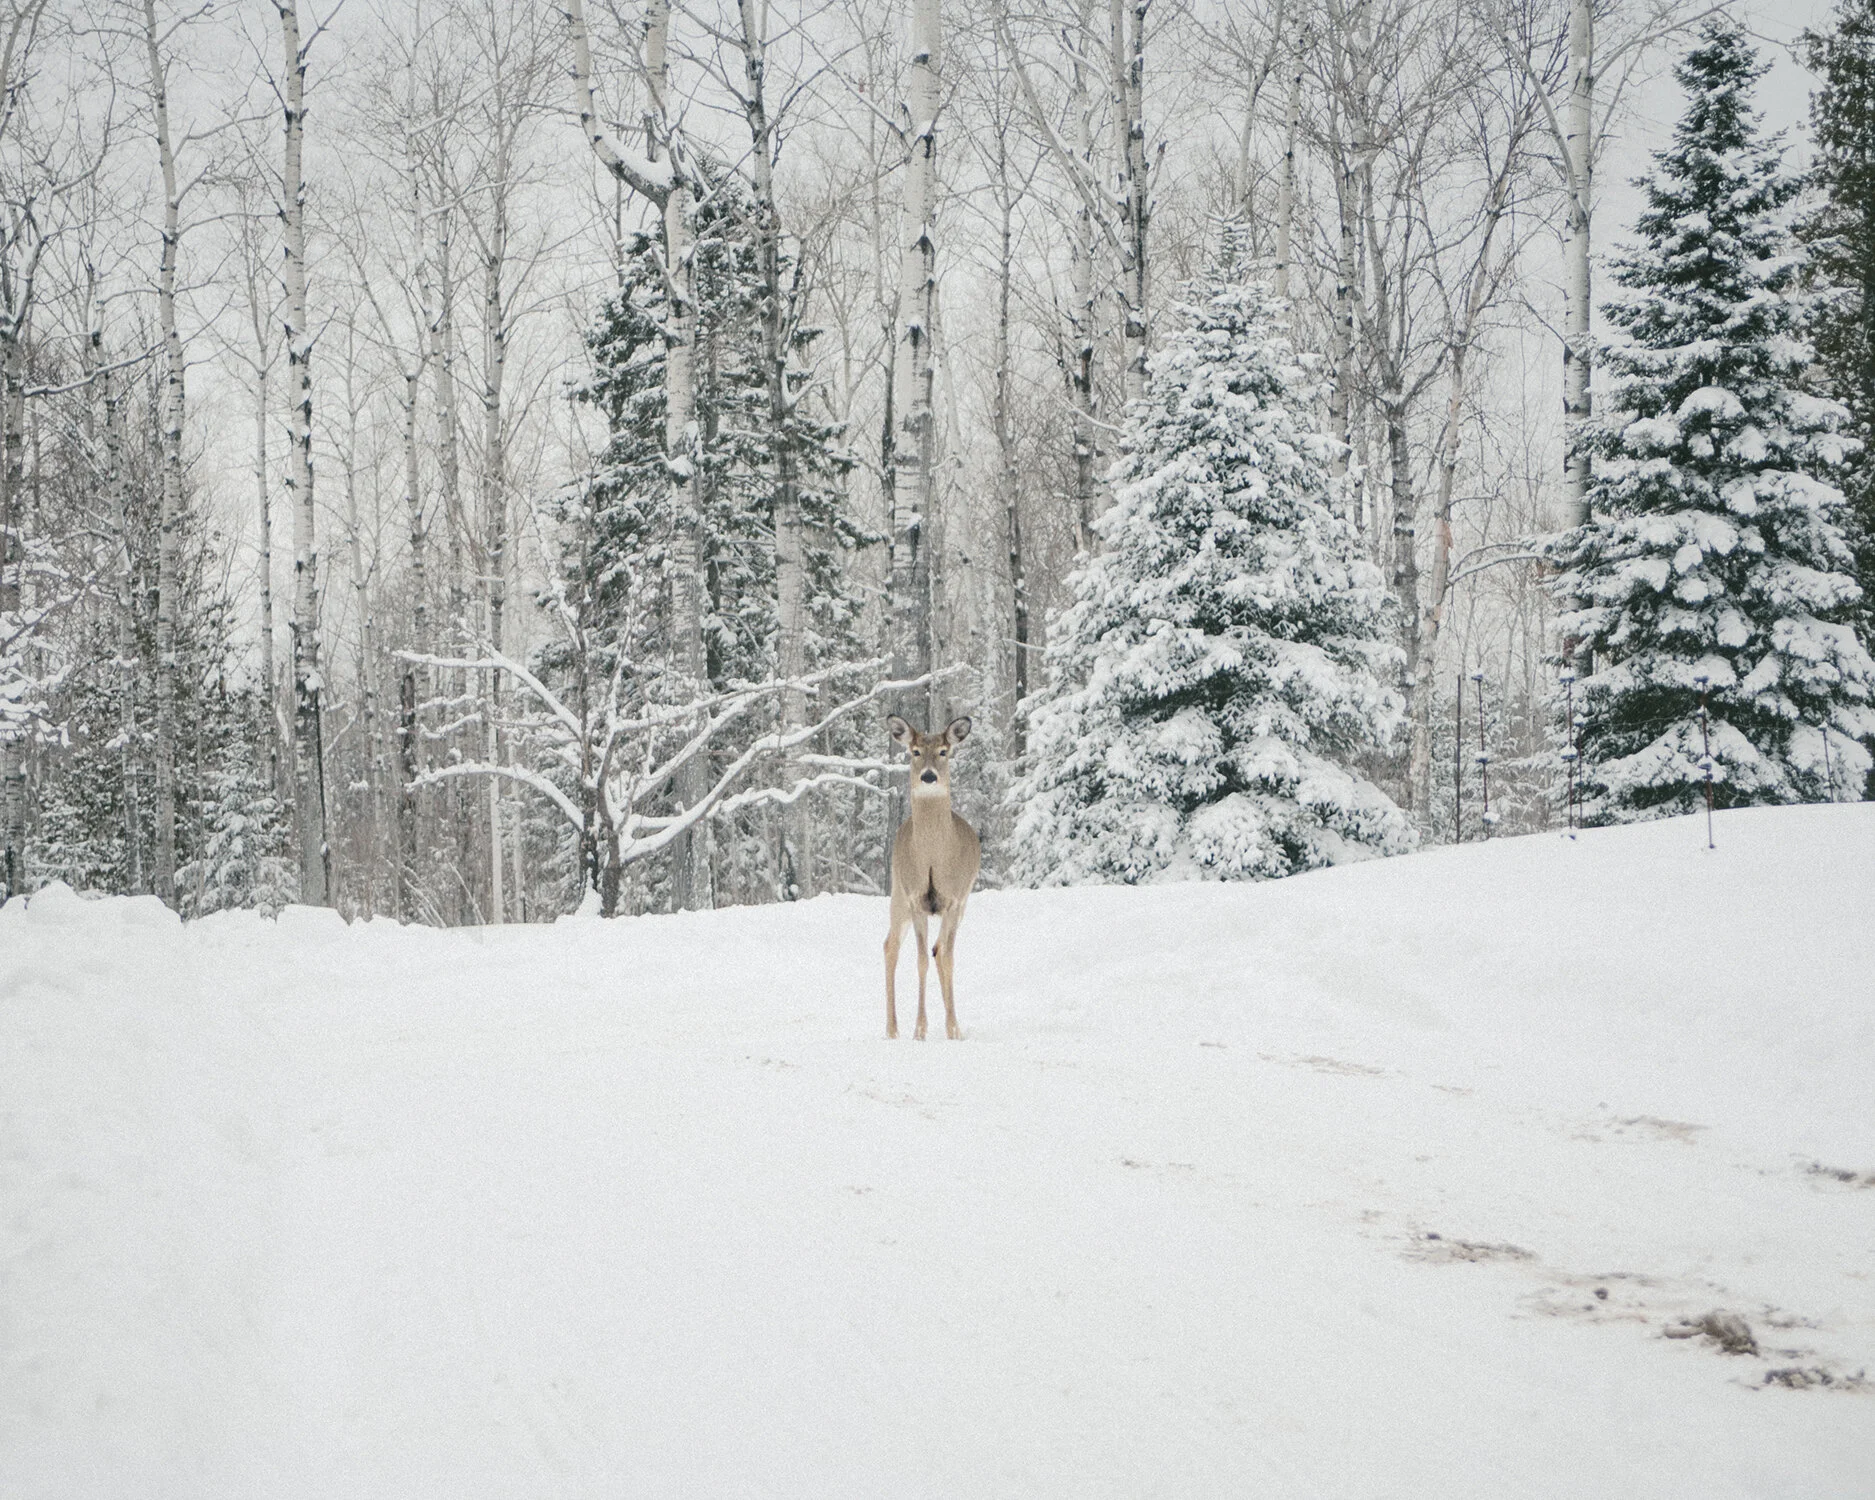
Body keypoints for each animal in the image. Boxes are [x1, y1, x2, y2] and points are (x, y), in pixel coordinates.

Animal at [884, 715, 980, 1040]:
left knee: (940, 950)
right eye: (914, 751)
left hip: (963, 905)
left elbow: (946, 958)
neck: (933, 858)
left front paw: (953, 1029)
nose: (928, 777)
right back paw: (892, 1029)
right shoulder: (916, 899)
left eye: (943, 751)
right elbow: (921, 960)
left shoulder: (953, 899)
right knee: (890, 946)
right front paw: (919, 1030)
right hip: (897, 893)